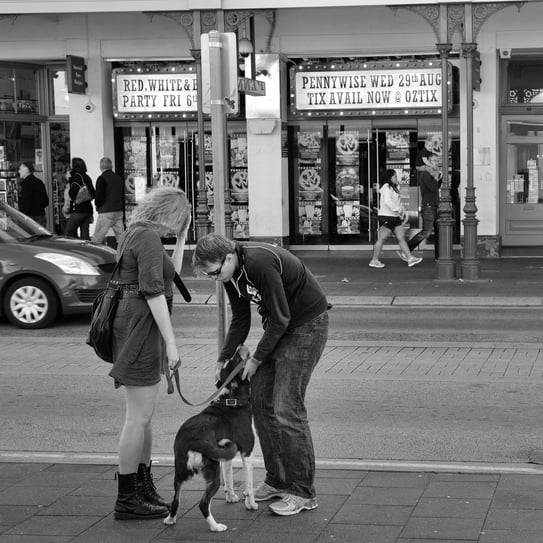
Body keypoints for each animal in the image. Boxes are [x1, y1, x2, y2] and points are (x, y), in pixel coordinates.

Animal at [164, 348, 260, 532]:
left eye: (230, 359)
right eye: (236, 360)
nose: (239, 347)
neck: (232, 399)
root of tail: (193, 440)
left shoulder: (226, 454)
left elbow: (229, 477)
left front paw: (231, 496)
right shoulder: (247, 452)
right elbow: (249, 485)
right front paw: (250, 504)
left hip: (180, 472)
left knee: (175, 500)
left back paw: (170, 520)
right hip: (212, 473)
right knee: (203, 504)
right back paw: (216, 527)